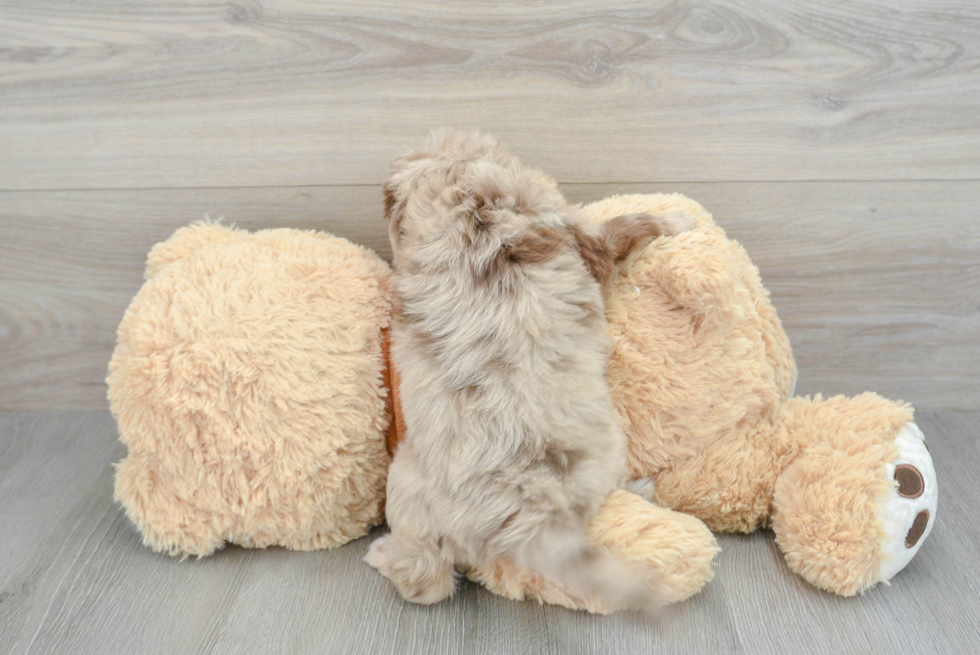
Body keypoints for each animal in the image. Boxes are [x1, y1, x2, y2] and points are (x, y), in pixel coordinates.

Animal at [364, 131, 692, 612]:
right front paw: (677, 219)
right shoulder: (577, 234)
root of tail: (527, 518)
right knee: (427, 581)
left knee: (427, 580)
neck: (469, 212)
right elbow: (624, 227)